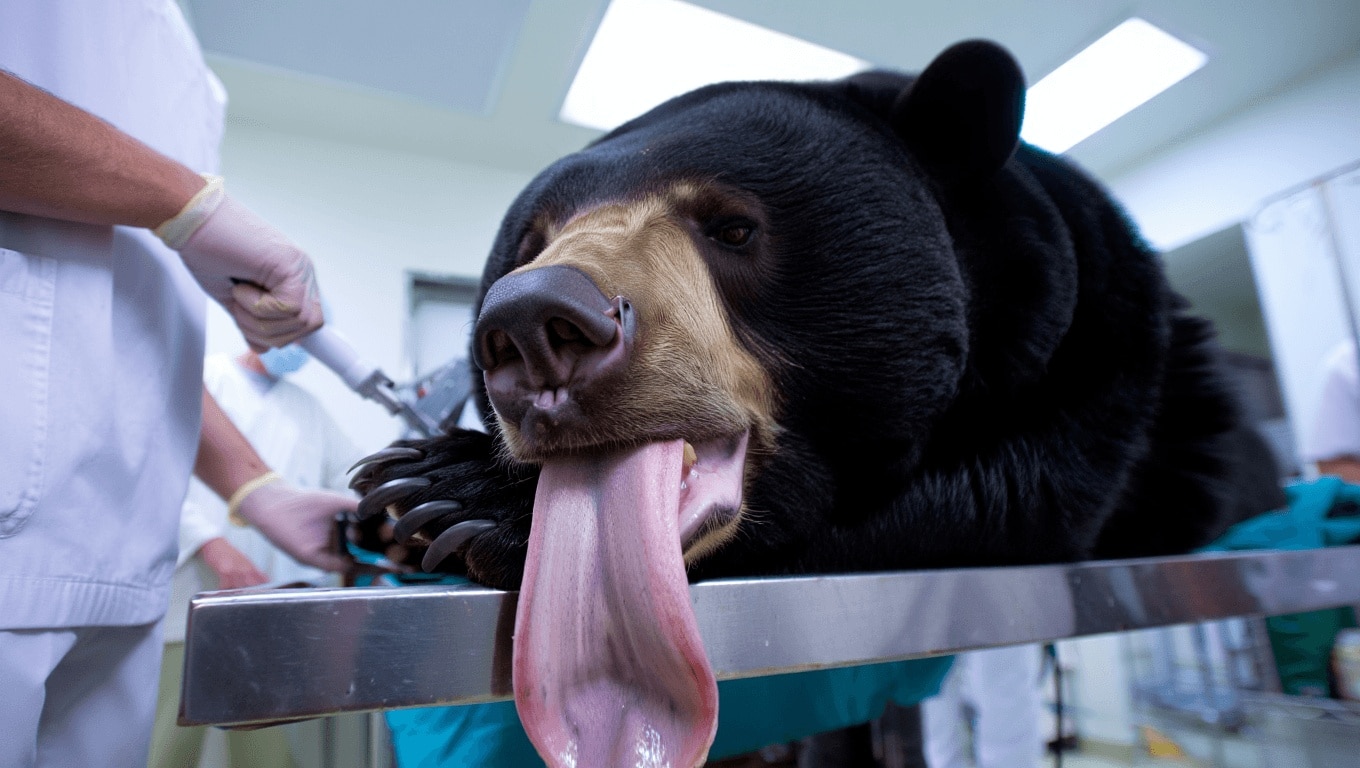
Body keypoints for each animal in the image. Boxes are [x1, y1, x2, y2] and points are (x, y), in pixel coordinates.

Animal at [348, 40, 1281, 768]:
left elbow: (1003, 499)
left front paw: (455, 494)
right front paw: (391, 504)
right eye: (530, 243)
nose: (532, 322)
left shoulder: (1101, 351)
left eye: (733, 227)